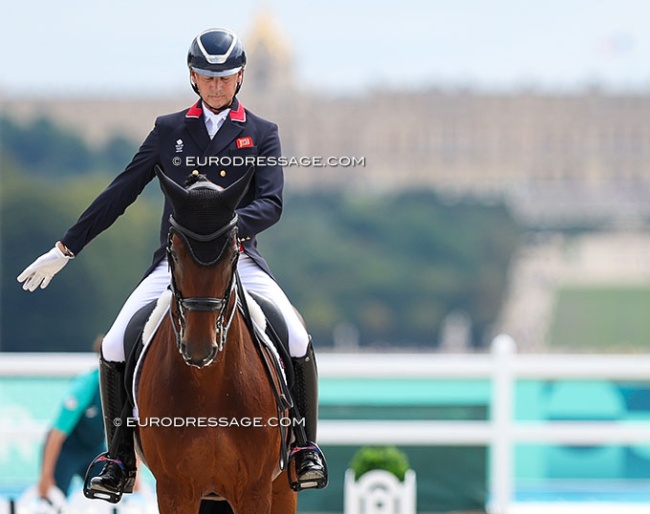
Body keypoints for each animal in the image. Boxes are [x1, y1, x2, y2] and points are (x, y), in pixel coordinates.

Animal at [138, 168, 298, 512]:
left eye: (233, 255)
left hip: (282, 486)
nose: (199, 346)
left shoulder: (255, 490)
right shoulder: (174, 491)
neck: (209, 386)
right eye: (174, 253)